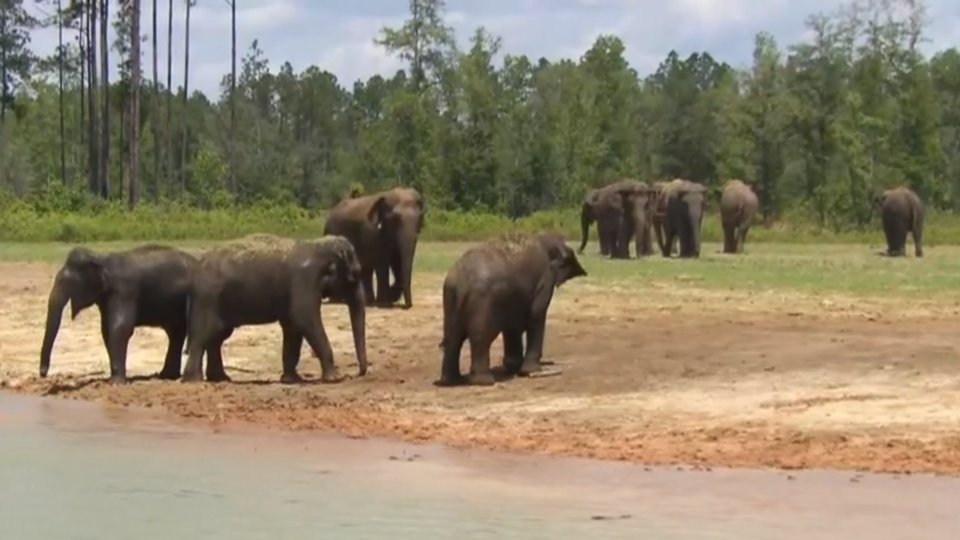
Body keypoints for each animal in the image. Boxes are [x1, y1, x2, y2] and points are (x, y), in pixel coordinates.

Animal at [39, 243, 199, 386]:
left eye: (67, 283)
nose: (43, 374)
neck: (101, 258)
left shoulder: (124, 290)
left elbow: (120, 327)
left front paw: (116, 383)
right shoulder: (105, 298)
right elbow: (106, 330)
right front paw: (113, 379)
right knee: (175, 333)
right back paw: (166, 376)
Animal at [182, 235, 370, 384]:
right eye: (356, 274)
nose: (357, 374)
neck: (317, 245)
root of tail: (197, 269)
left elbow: (293, 326)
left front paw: (291, 380)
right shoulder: (303, 281)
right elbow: (305, 319)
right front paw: (336, 378)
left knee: (216, 337)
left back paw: (220, 379)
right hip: (208, 298)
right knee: (203, 335)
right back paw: (194, 380)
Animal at [434, 230, 584, 386]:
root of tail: (462, 281)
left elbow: (514, 325)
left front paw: (514, 368)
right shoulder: (545, 280)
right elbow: (536, 314)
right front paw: (531, 371)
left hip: (450, 296)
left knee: (453, 337)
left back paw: (452, 381)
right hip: (484, 301)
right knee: (480, 337)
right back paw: (485, 381)